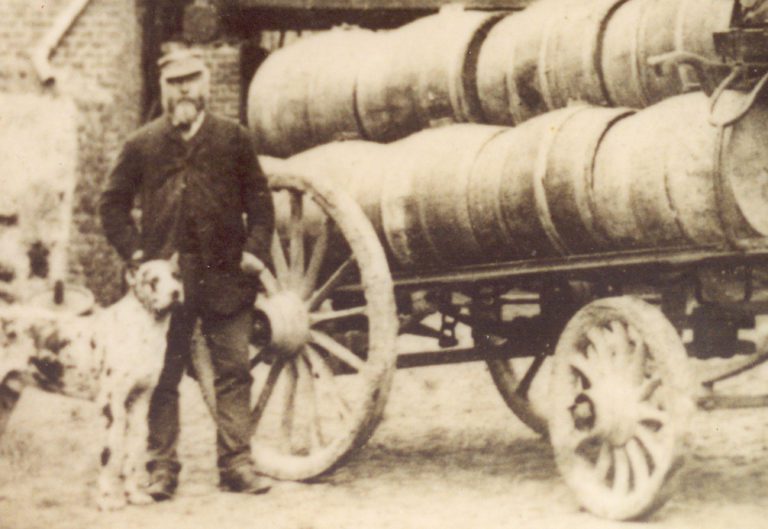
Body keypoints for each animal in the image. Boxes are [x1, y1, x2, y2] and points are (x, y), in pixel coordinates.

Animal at [0, 254, 182, 510]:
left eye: (177, 276)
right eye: (153, 280)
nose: (176, 293)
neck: (144, 328)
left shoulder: (140, 402)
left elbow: (133, 454)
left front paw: (134, 495)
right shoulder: (112, 405)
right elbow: (110, 454)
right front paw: (106, 499)